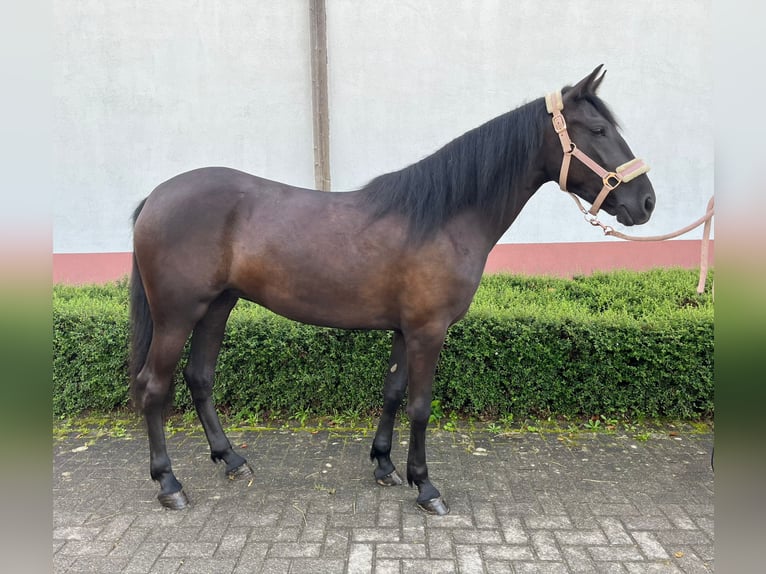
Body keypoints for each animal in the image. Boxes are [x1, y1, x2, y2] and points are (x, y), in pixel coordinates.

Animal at [129, 66, 655, 515]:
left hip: (217, 307)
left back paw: (232, 460)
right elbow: (420, 406)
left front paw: (384, 465)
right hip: (177, 315)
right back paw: (170, 484)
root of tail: (156, 197)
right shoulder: (429, 330)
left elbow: (393, 393)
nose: (646, 201)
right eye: (598, 131)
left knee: (200, 378)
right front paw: (426, 486)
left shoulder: (405, 330)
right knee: (154, 386)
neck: (443, 216)